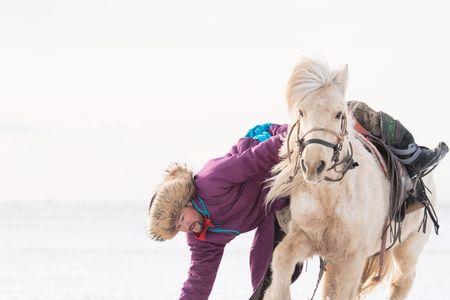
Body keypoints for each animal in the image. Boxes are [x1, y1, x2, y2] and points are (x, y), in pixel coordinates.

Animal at [264, 56, 436, 300]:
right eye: (301, 112)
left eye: (339, 114)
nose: (313, 165)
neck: (329, 198)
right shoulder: (307, 238)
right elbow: (281, 260)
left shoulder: (351, 258)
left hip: (408, 249)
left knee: (402, 281)